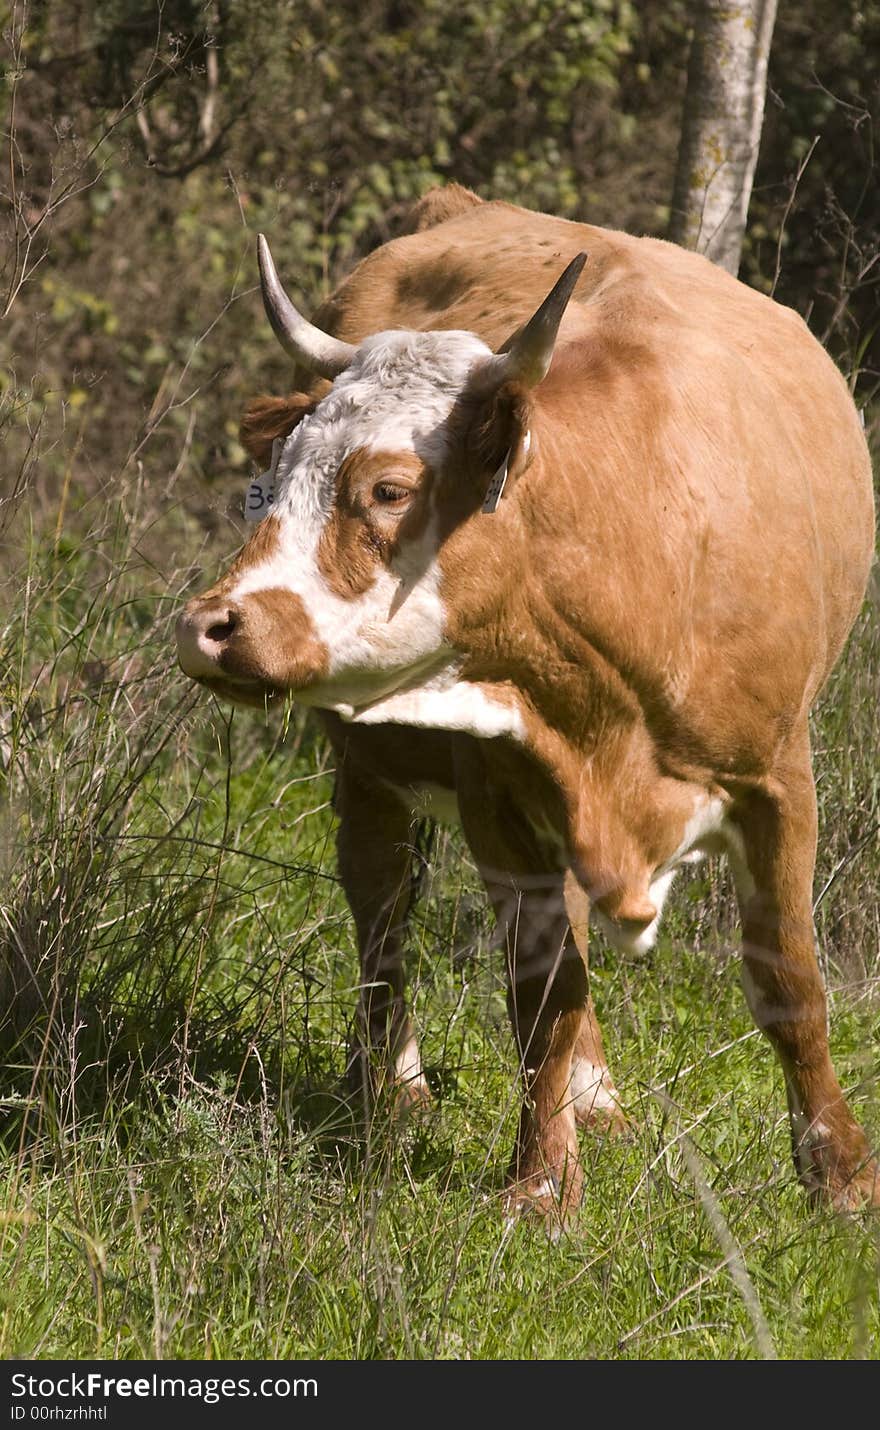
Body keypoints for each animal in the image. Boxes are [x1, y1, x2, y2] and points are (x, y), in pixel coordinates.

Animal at [175, 181, 875, 1229]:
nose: (209, 626)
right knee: (382, 901)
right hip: (368, 762)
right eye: (269, 484)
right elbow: (541, 993)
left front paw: (839, 1174)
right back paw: (396, 1088)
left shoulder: (780, 777)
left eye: (388, 489)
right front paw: (542, 1185)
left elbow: (788, 976)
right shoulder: (498, 799)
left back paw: (601, 1102)